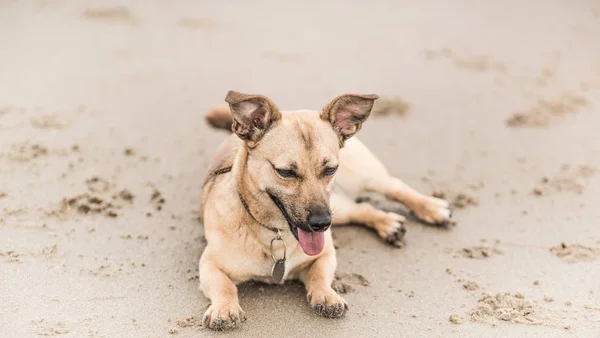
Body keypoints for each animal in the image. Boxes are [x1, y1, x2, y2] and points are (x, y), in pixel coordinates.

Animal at [199, 90, 452, 330]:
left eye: (331, 169)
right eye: (285, 172)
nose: (321, 223)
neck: (276, 234)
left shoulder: (325, 254)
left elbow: (318, 275)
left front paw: (327, 295)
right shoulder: (209, 265)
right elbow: (225, 286)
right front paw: (224, 309)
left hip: (359, 181)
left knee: (394, 187)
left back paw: (431, 208)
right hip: (339, 208)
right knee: (361, 208)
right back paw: (389, 224)